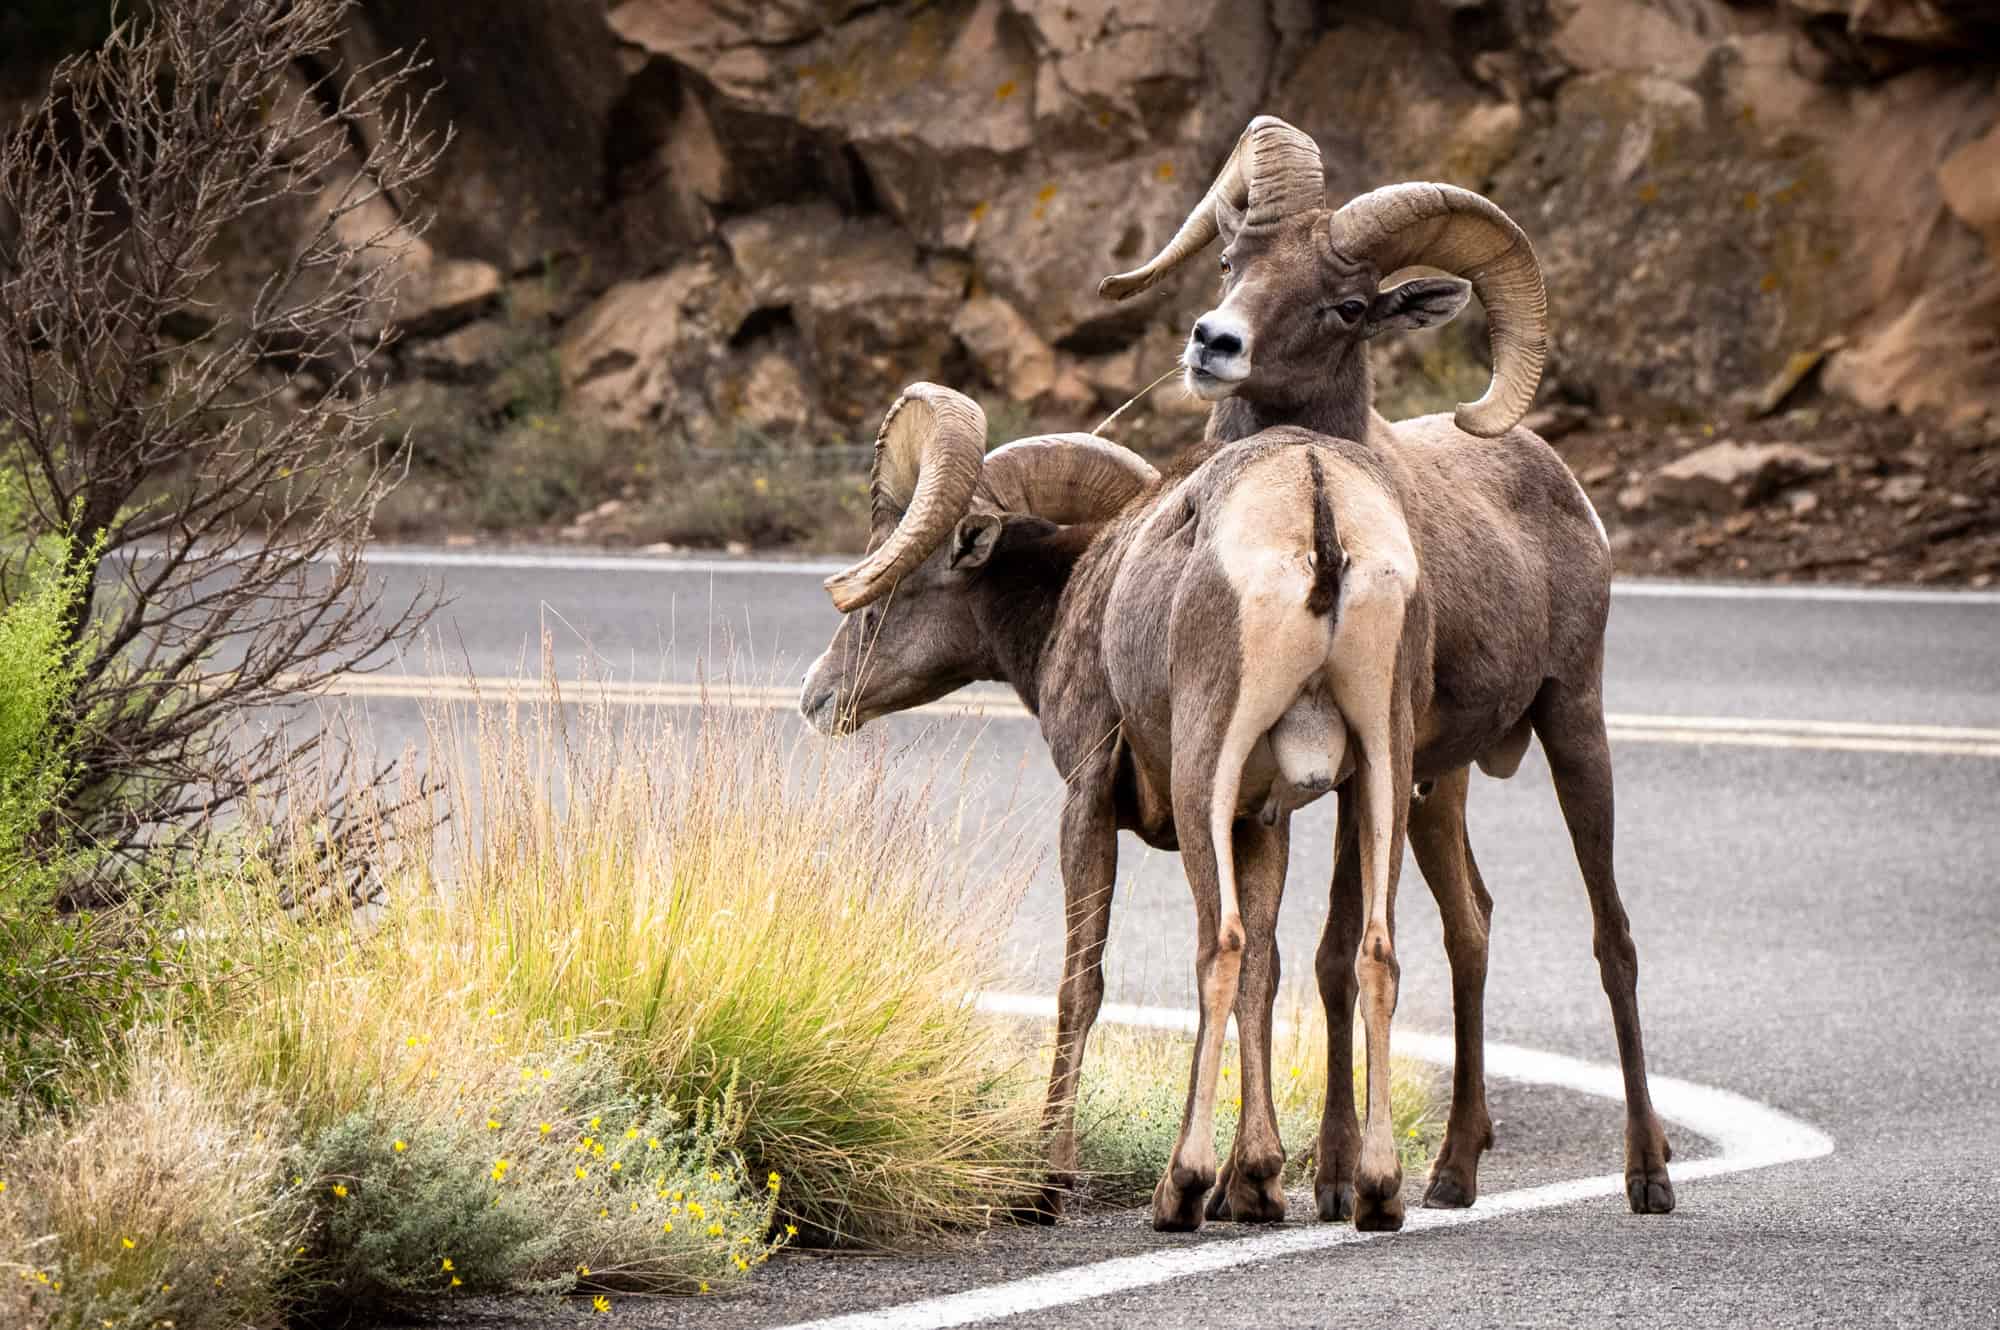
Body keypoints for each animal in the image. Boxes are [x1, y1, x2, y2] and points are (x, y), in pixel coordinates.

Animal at [801, 383, 1428, 1231]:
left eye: (890, 591)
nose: (817, 696)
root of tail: (1315, 498)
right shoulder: (1263, 822)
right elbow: (1265, 979)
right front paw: (1257, 1185)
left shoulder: (1088, 803)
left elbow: (1082, 982)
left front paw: (1046, 1182)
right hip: (1385, 769)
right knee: (1373, 954)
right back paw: (1378, 1192)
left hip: (1205, 776)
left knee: (1218, 947)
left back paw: (1179, 1187)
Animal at [1096, 115, 1676, 1220]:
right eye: (1233, 262)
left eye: (1347, 305)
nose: (1213, 343)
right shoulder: (1349, 779)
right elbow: (1319, 957)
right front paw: (1321, 1179)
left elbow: (1319, 951)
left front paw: (1304, 1178)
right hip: (1435, 780)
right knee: (1469, 927)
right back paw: (1452, 1171)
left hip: (1569, 724)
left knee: (1612, 937)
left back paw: (1648, 1173)